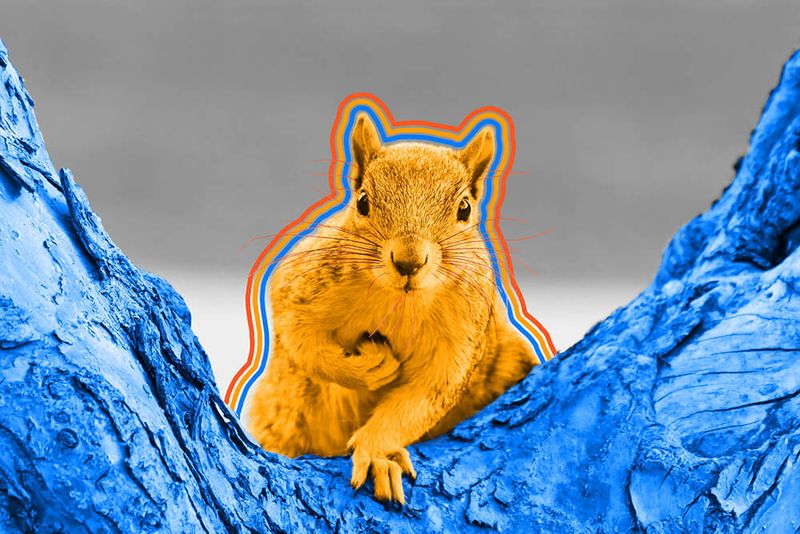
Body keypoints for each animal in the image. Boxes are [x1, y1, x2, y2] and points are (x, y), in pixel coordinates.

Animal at [246, 113, 537, 505]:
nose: (408, 262)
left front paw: (376, 453)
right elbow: (301, 341)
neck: (400, 302)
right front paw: (368, 367)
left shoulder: (461, 336)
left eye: (464, 208)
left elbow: (423, 399)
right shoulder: (300, 286)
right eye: (363, 202)